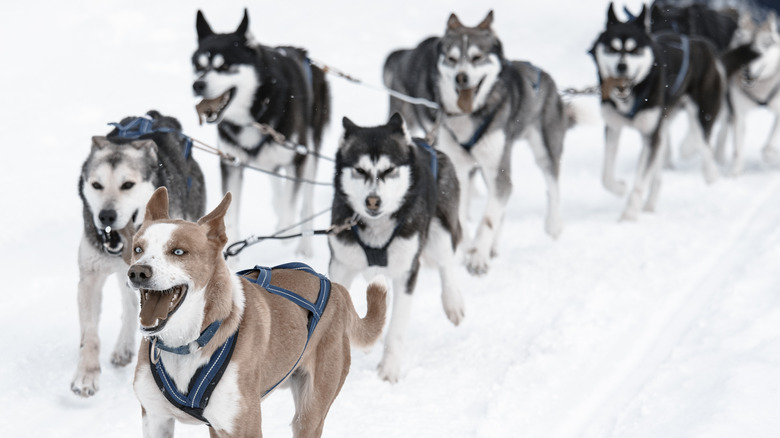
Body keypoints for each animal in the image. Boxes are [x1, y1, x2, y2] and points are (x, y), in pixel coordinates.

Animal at [128, 186, 386, 436]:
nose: (138, 272)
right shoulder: (156, 418)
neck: (186, 342)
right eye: (138, 249)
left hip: (309, 414)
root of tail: (336, 287)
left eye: (178, 251)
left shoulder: (244, 426)